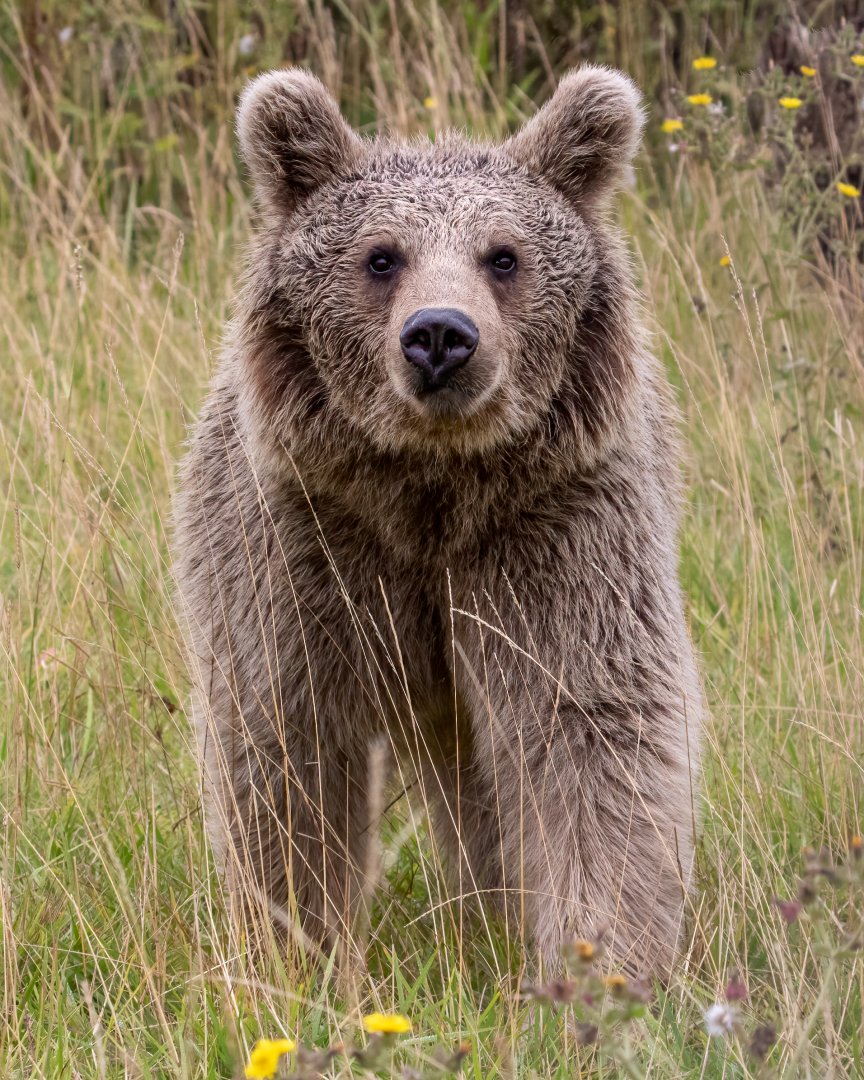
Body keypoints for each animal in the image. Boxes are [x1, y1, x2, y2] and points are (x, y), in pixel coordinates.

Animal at [173, 65, 703, 977]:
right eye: (381, 256)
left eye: (504, 255)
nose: (440, 337)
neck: (430, 489)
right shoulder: (304, 542)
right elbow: (287, 748)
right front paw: (299, 947)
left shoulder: (553, 535)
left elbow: (593, 729)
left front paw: (599, 960)